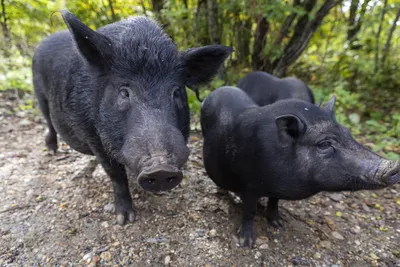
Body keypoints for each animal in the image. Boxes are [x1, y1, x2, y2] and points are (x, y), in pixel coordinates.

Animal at [32, 10, 233, 225]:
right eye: (124, 92)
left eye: (176, 92)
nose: (161, 167)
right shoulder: (93, 135)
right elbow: (116, 174)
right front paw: (125, 219)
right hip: (40, 96)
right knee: (48, 122)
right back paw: (52, 151)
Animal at [202, 87, 398, 250]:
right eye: (324, 144)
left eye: (348, 133)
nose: (394, 166)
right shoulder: (250, 185)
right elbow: (249, 211)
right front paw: (247, 244)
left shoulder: (275, 189)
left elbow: (274, 202)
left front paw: (279, 223)